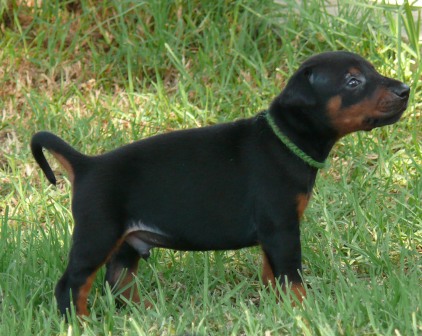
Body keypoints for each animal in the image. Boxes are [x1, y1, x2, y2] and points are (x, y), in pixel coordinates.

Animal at [32, 51, 408, 316]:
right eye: (352, 82)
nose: (405, 89)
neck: (285, 140)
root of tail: (86, 164)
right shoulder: (282, 227)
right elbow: (292, 276)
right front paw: (305, 310)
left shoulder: (275, 233)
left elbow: (272, 273)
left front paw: (278, 309)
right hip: (97, 235)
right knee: (72, 285)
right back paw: (79, 323)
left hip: (125, 242)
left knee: (119, 281)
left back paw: (147, 314)